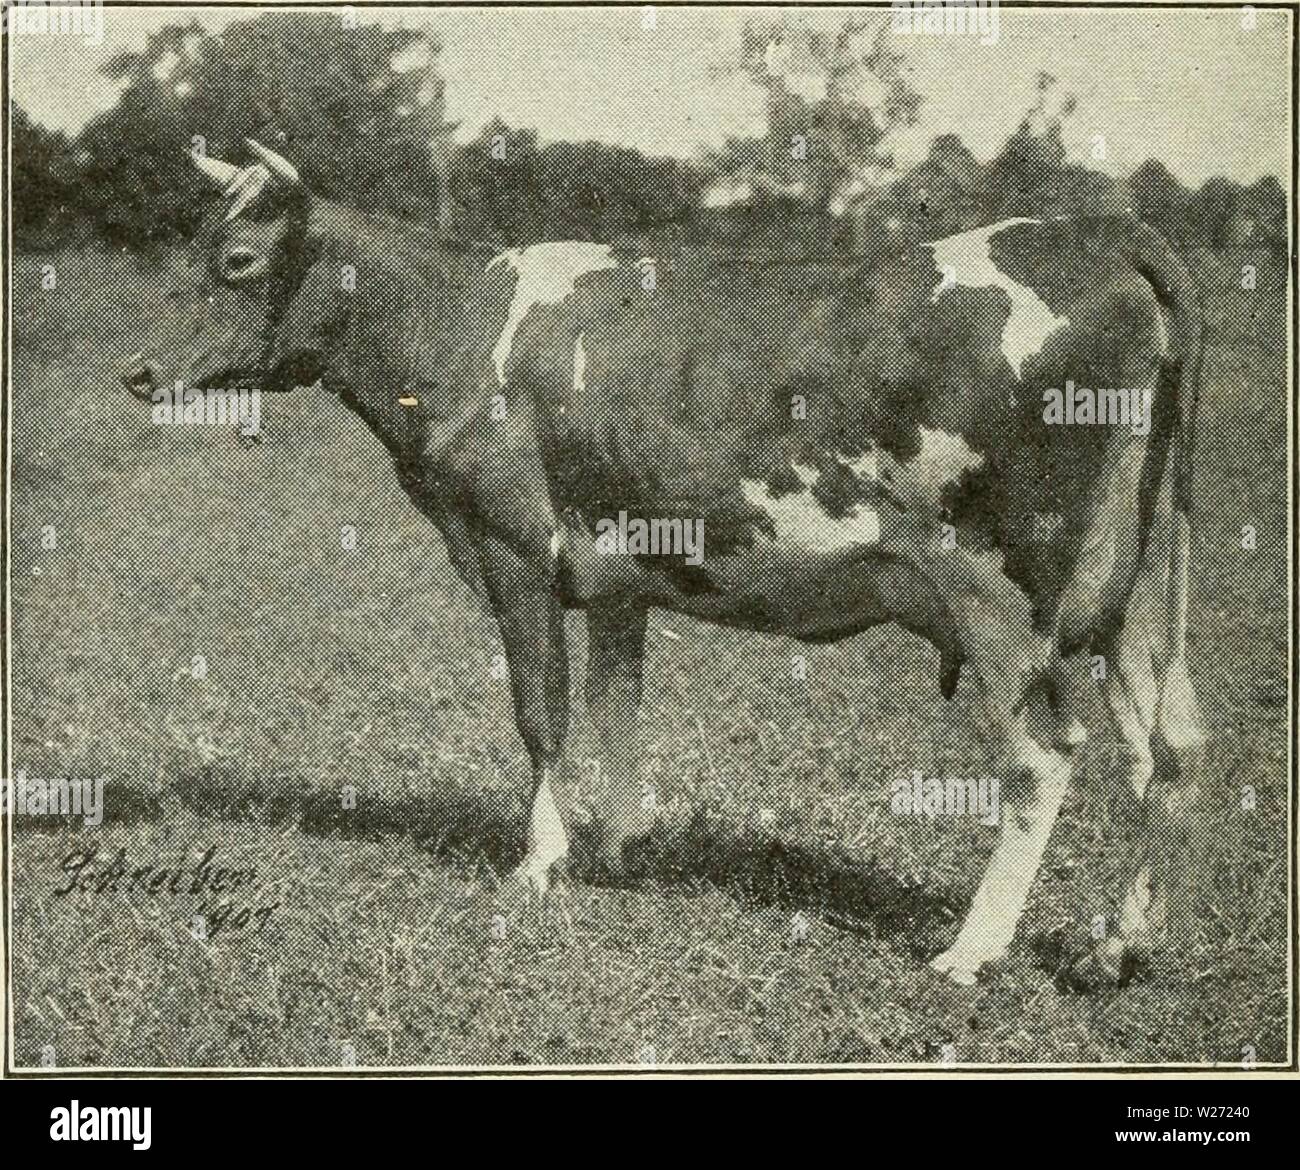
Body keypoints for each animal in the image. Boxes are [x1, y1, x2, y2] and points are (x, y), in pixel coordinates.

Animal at [121, 141, 1208, 985]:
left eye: (237, 258)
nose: (136, 369)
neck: (458, 326)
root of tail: (1101, 231)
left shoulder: (512, 548)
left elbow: (541, 712)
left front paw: (541, 862)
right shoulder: (617, 573)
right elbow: (616, 703)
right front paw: (616, 844)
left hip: (998, 586)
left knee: (1045, 751)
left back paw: (971, 951)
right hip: (1136, 588)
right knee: (1171, 745)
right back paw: (1120, 946)